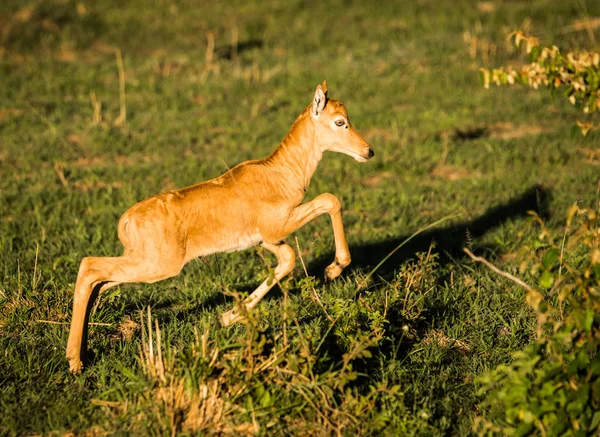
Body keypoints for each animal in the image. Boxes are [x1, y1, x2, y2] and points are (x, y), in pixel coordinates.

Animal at [67, 81, 376, 372]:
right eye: (340, 121)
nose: (368, 151)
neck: (280, 172)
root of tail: (127, 219)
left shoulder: (265, 240)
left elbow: (287, 259)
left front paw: (227, 317)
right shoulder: (278, 227)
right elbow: (330, 200)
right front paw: (334, 269)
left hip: (140, 260)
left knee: (99, 282)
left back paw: (82, 353)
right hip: (157, 265)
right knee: (89, 266)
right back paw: (75, 361)